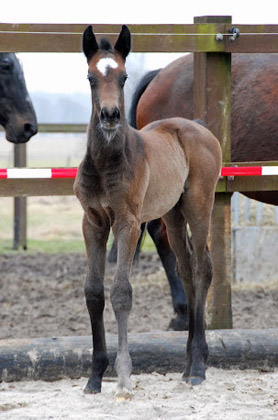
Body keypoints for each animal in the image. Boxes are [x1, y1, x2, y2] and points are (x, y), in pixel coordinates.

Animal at [74, 24, 222, 398]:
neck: (106, 163)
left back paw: (198, 367)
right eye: (91, 77)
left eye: (124, 76)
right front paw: (94, 377)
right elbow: (93, 292)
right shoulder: (92, 223)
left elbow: (121, 292)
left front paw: (124, 377)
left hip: (199, 204)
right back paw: (187, 364)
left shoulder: (127, 223)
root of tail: (197, 126)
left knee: (203, 268)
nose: (110, 116)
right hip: (172, 213)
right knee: (186, 269)